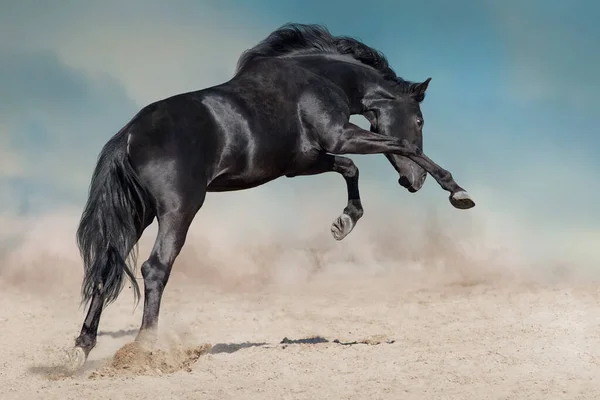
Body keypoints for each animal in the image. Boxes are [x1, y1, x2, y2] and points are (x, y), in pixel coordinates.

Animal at [68, 23, 476, 368]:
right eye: (419, 120)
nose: (412, 183)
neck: (319, 79)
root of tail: (130, 134)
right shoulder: (341, 136)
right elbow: (400, 147)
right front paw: (458, 192)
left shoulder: (305, 160)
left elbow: (350, 169)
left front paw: (344, 223)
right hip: (179, 209)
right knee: (155, 268)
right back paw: (146, 350)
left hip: (139, 214)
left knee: (106, 266)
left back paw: (82, 348)